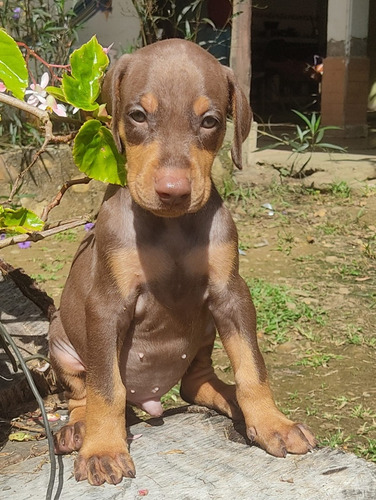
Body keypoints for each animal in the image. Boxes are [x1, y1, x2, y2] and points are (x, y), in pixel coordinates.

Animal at [49, 39, 314, 484]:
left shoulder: (231, 294)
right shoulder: (106, 305)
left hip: (205, 330)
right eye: (137, 115)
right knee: (82, 393)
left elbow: (252, 367)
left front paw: (272, 422)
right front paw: (103, 448)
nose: (172, 191)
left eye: (209, 121)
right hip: (59, 338)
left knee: (196, 383)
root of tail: (149, 400)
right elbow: (106, 386)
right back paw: (79, 429)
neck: (170, 228)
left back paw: (230, 399)